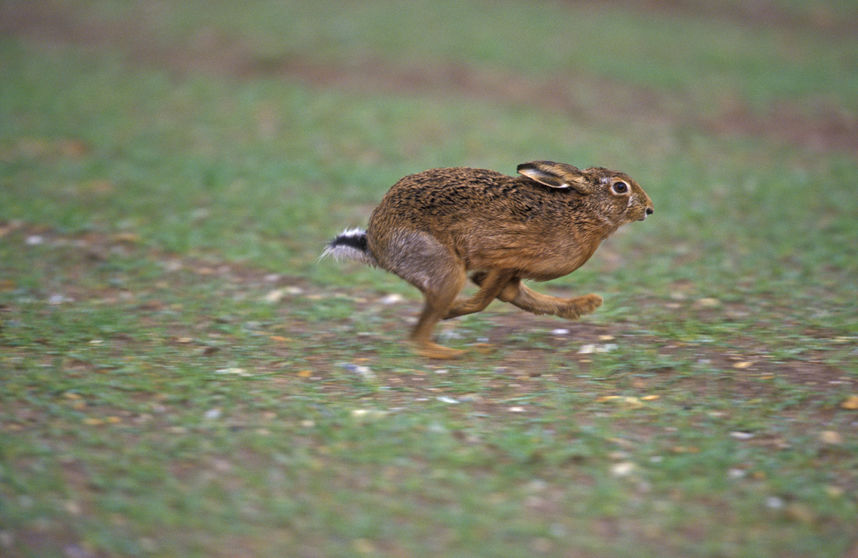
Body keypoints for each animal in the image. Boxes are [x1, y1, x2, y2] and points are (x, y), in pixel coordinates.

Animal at [322, 161, 653, 359]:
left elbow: (516, 295)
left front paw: (585, 305)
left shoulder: (511, 271)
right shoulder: (506, 260)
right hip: (443, 269)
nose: (649, 209)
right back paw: (453, 351)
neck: (582, 213)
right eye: (620, 187)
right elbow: (484, 300)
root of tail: (375, 244)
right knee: (418, 337)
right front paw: (453, 313)